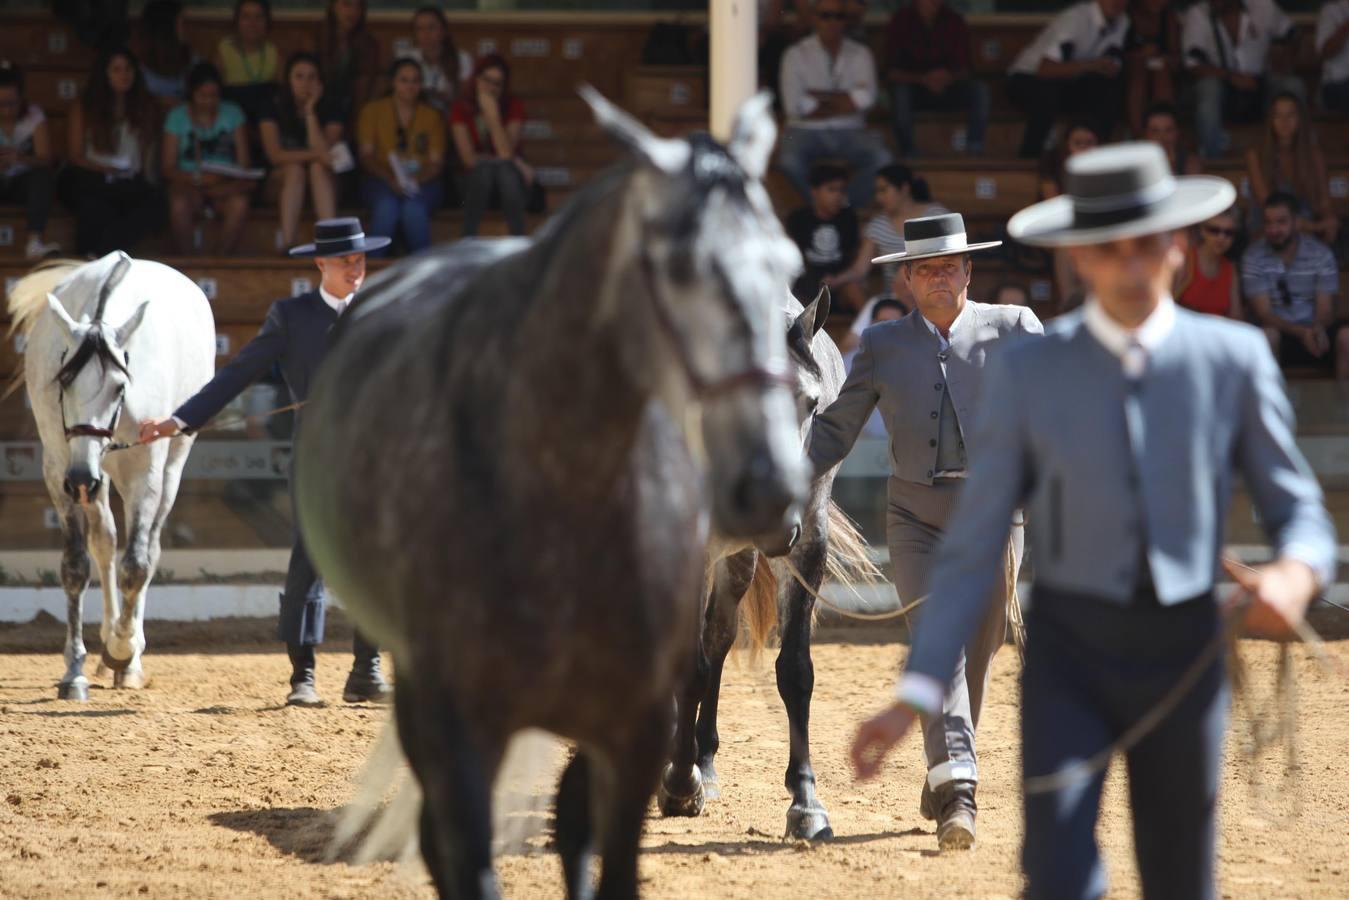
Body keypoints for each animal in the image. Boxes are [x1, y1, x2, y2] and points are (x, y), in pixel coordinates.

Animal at [7, 249, 214, 701]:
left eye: (120, 387)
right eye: (63, 383)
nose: (82, 478)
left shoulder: (144, 472)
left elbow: (136, 565)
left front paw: (123, 652)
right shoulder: (59, 469)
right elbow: (76, 566)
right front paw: (75, 671)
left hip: (166, 468)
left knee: (149, 549)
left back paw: (129, 650)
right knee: (104, 544)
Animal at [296, 93, 809, 900]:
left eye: (785, 262)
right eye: (676, 266)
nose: (769, 491)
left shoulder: (631, 720)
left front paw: (687, 781)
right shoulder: (459, 730)